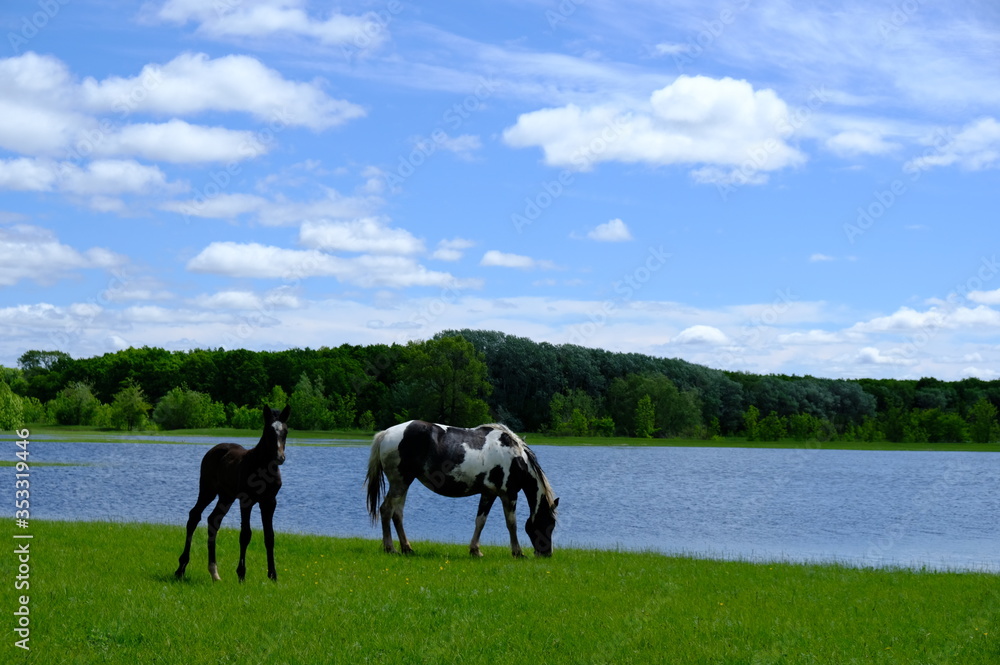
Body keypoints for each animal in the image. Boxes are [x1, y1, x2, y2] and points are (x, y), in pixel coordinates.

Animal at [174, 405, 291, 582]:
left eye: (285, 432)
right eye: (269, 432)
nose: (280, 457)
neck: (262, 468)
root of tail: (214, 449)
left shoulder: (269, 502)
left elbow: (269, 536)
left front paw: (273, 575)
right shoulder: (246, 500)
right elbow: (245, 535)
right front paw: (241, 573)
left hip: (226, 496)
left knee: (213, 520)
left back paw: (214, 572)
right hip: (208, 490)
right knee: (194, 516)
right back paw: (181, 567)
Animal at [365, 420, 559, 557]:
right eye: (549, 523)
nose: (547, 553)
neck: (516, 458)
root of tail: (386, 433)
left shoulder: (489, 494)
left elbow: (480, 521)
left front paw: (475, 550)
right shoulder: (508, 494)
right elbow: (512, 523)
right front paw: (518, 552)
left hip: (404, 483)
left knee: (397, 514)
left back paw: (407, 548)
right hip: (400, 482)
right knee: (386, 510)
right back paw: (390, 548)